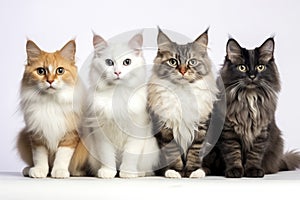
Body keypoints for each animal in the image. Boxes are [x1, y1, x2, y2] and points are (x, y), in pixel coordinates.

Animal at [16, 39, 86, 178]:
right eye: (41, 71)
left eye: (60, 70)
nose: (50, 81)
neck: (50, 102)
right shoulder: (37, 135)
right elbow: (39, 157)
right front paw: (39, 171)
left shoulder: (70, 135)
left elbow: (62, 156)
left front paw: (59, 172)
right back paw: (28, 169)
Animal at [79, 32, 159, 178]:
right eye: (109, 62)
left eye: (127, 62)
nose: (117, 72)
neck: (116, 96)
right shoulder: (102, 135)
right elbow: (107, 156)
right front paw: (107, 172)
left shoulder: (136, 132)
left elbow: (130, 156)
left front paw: (127, 173)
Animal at [148, 28, 218, 178]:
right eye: (173, 62)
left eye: (192, 62)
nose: (183, 71)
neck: (183, 92)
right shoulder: (166, 129)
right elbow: (173, 154)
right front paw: (175, 172)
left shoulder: (200, 129)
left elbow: (194, 153)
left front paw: (193, 172)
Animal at [204, 36, 300, 177]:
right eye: (242, 68)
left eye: (260, 67)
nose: (252, 76)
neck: (249, 98)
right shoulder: (228, 132)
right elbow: (233, 153)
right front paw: (235, 171)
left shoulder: (261, 131)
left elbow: (255, 154)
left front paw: (253, 170)